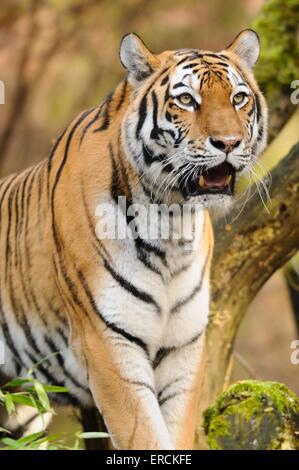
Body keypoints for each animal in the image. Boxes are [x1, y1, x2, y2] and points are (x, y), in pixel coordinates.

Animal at [0, 28, 268, 448]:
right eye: (186, 100)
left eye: (238, 98)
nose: (228, 143)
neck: (172, 224)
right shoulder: (109, 344)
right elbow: (146, 436)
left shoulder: (183, 350)